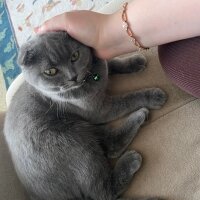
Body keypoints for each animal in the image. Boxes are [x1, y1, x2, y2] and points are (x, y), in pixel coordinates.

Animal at [3, 32, 166, 199]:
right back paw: (133, 148)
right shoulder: (100, 110)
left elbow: (112, 63)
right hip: (69, 139)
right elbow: (127, 100)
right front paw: (153, 96)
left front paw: (134, 62)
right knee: (104, 189)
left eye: (75, 56)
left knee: (110, 146)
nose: (73, 76)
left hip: (81, 128)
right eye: (50, 72)